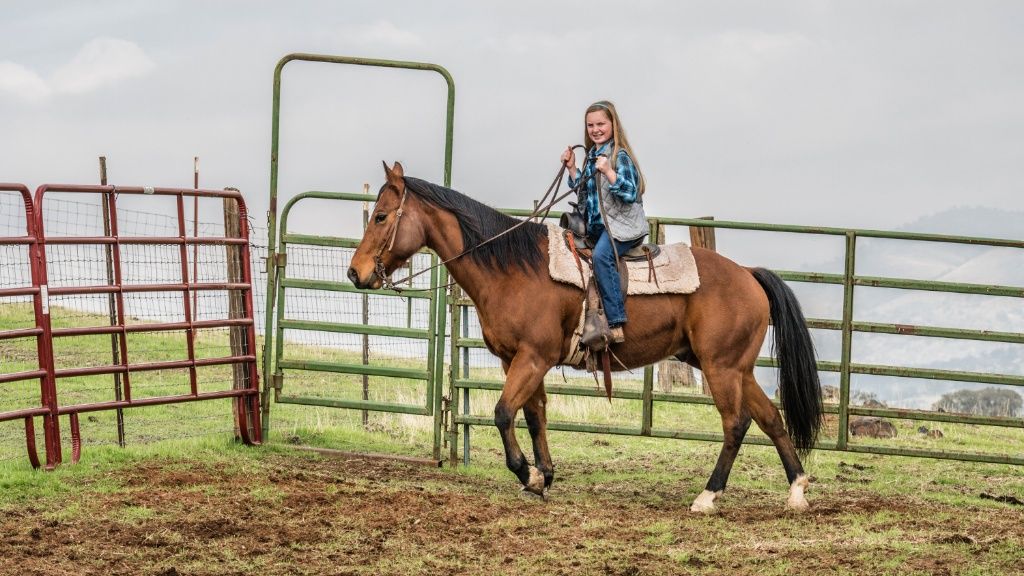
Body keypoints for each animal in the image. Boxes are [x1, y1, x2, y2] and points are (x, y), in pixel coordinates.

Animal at [346, 158, 823, 508]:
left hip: (720, 367)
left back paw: (707, 496)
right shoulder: (518, 359)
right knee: (770, 418)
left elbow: (503, 413)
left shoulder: (533, 357)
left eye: (382, 216)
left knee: (736, 423)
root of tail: (748, 275)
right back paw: (797, 490)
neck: (513, 268)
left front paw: (527, 472)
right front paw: (544, 476)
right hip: (738, 368)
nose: (355, 272)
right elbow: (534, 415)